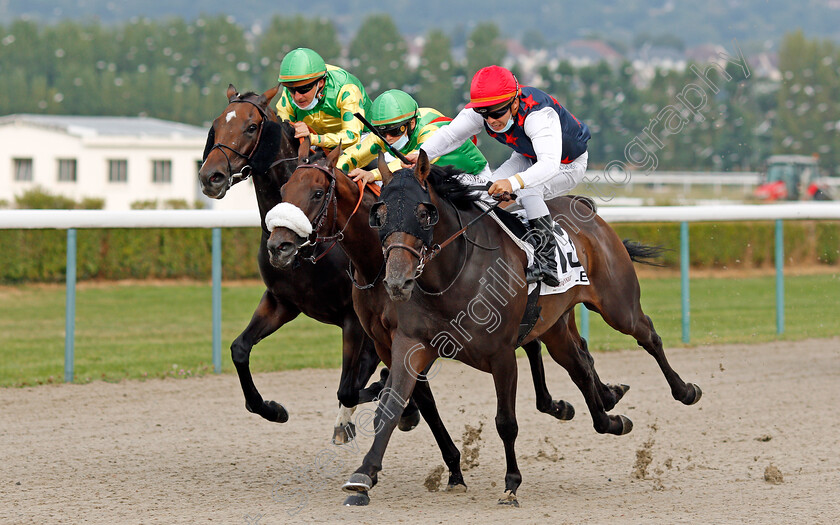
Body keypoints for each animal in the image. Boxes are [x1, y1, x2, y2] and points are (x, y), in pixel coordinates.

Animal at [198, 85, 420, 442]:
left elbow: (349, 387)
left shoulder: (354, 317)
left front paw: (379, 397)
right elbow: (239, 349)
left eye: (251, 127)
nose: (211, 177)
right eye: (216, 127)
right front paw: (272, 409)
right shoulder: (282, 301)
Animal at [266, 148, 652, 508]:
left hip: (617, 307)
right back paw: (606, 412)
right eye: (381, 213)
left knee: (646, 335)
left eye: (318, 193)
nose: (277, 246)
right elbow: (397, 404)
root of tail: (583, 206)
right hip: (555, 325)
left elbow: (505, 421)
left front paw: (510, 485)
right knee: (579, 361)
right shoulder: (402, 344)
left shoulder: (500, 355)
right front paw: (368, 474)